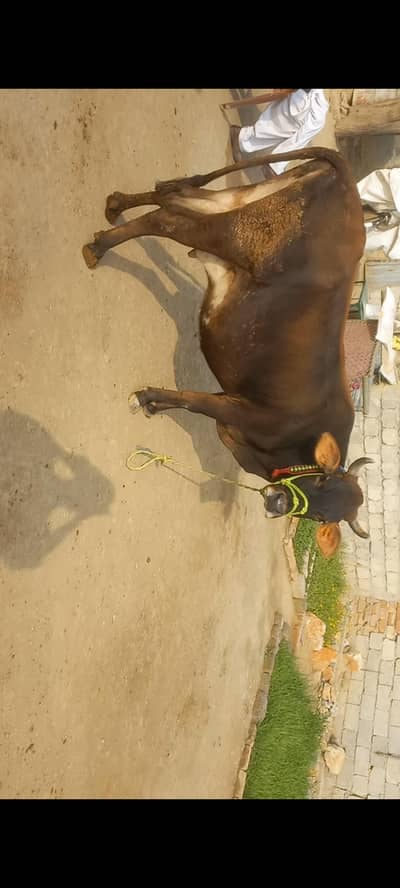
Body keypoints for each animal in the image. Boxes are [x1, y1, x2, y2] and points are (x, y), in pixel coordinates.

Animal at [82, 146, 372, 558]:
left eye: (320, 517)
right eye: (320, 484)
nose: (278, 502)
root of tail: (345, 175)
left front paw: (155, 404)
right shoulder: (241, 409)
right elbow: (193, 401)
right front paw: (145, 397)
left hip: (237, 203)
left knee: (175, 195)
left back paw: (116, 205)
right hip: (240, 234)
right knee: (169, 219)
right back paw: (99, 246)